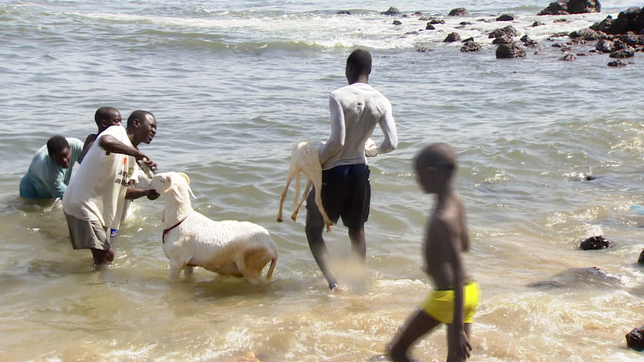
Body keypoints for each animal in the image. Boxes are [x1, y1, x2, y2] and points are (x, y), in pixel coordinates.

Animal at [152, 173, 280, 282]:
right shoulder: (188, 264)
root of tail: (273, 248)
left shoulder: (177, 262)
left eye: (162, 180)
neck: (179, 219)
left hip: (250, 267)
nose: (149, 183)